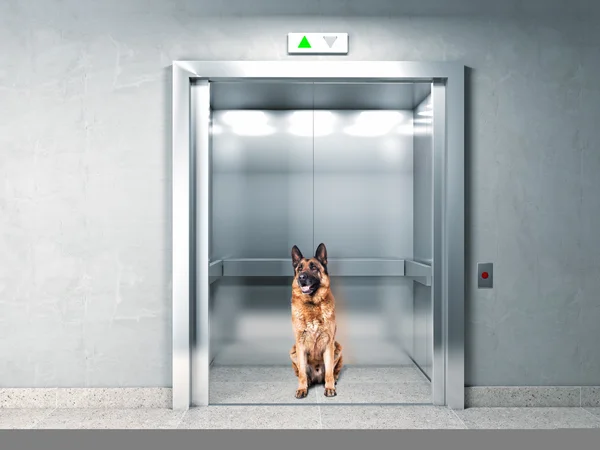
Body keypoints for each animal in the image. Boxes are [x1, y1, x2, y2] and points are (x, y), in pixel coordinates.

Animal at [290, 246, 342, 398]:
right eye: (300, 268)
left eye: (313, 267)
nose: (301, 277)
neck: (312, 306)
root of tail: (317, 377)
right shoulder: (300, 344)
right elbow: (302, 373)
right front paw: (302, 389)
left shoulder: (329, 343)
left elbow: (329, 372)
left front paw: (329, 388)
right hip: (293, 351)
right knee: (301, 373)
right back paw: (308, 381)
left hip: (337, 348)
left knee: (333, 371)